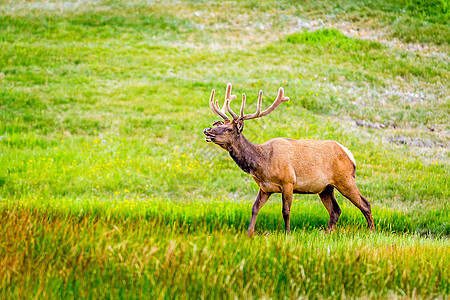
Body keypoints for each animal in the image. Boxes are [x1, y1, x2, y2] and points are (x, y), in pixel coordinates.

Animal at [203, 83, 372, 236]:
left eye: (229, 129)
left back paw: (371, 231)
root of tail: (350, 155)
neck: (263, 164)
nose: (207, 130)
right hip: (326, 188)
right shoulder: (265, 187)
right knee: (335, 210)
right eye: (218, 125)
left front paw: (287, 233)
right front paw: (249, 233)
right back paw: (327, 233)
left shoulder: (288, 181)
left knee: (365, 204)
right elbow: (254, 208)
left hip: (345, 179)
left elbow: (286, 211)